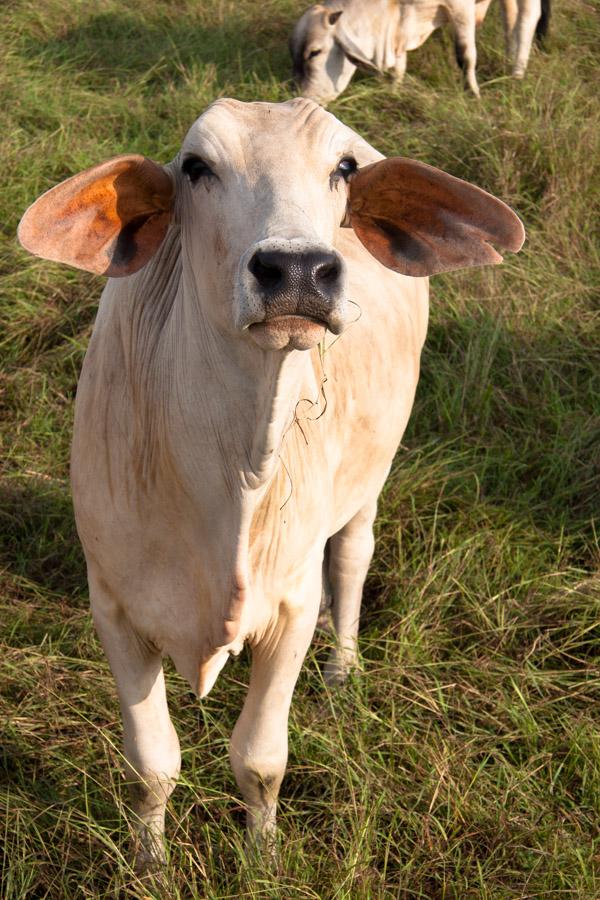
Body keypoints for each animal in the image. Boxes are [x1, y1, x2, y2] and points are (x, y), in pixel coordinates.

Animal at [292, 0, 552, 103]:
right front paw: (394, 90)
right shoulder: (400, 24)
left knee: (528, 18)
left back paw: (517, 73)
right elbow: (398, 66)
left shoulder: (461, 8)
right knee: (510, 20)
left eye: (314, 52)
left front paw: (473, 93)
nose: (303, 97)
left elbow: (465, 55)